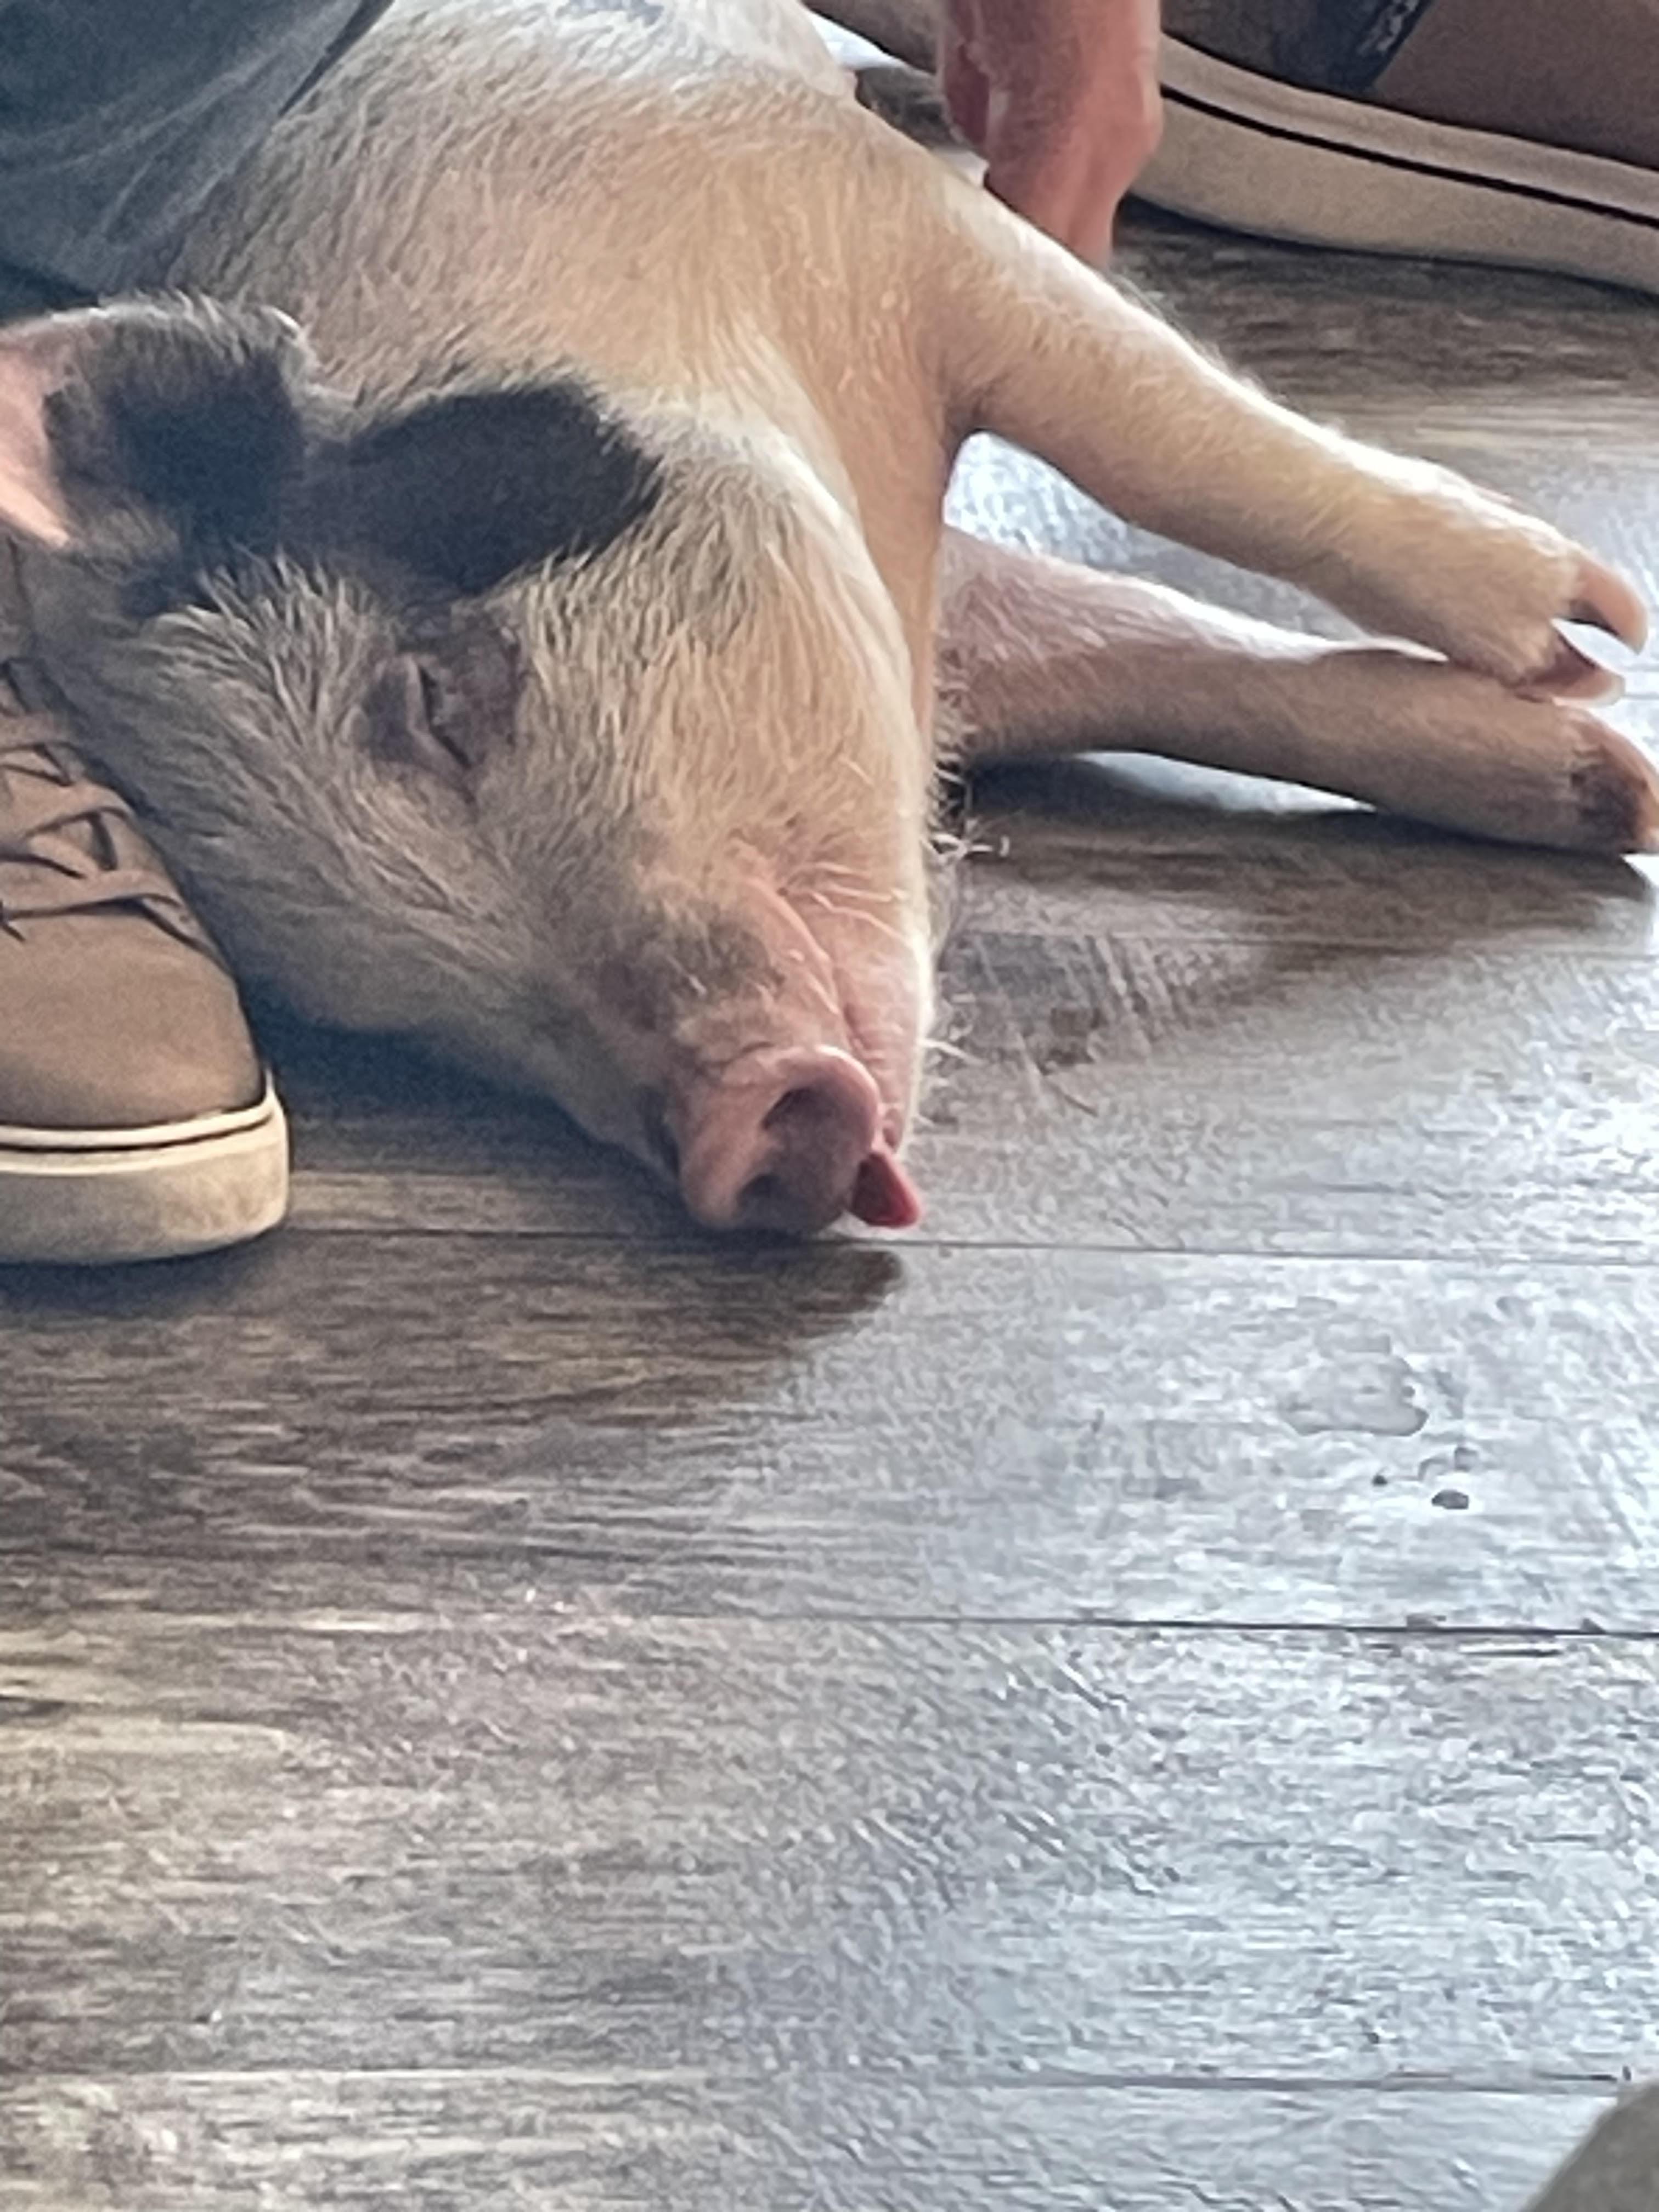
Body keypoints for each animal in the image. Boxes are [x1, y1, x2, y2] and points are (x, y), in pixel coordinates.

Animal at [0, 0, 1650, 1234]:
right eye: (377, 1020)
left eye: (434, 703)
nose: (744, 1132)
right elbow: (1125, 631)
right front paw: (1610, 785)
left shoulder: (865, 203)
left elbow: (1167, 438)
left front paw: (1591, 629)